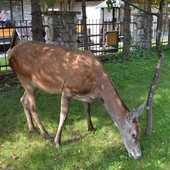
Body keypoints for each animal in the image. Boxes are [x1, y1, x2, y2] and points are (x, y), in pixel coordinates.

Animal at [8, 41, 145, 159]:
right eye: (133, 134)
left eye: (140, 131)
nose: (139, 155)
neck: (97, 87)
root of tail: (10, 52)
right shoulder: (67, 89)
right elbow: (63, 116)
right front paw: (57, 142)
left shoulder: (86, 96)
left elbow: (87, 109)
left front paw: (91, 128)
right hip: (26, 79)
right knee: (32, 106)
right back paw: (46, 134)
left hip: (31, 84)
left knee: (23, 99)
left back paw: (31, 129)